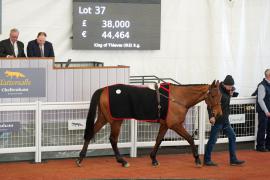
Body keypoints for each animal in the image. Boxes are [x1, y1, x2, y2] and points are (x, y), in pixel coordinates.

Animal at [75, 80, 221, 167]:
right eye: (213, 96)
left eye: (220, 96)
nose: (218, 114)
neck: (177, 98)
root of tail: (104, 89)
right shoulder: (175, 125)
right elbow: (190, 138)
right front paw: (197, 159)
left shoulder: (165, 124)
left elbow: (158, 140)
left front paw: (153, 158)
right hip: (116, 120)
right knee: (113, 139)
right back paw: (122, 161)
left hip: (103, 118)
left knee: (90, 133)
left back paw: (80, 158)